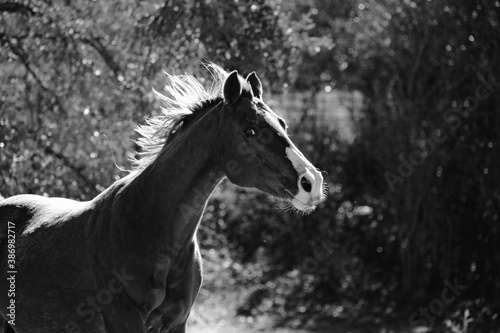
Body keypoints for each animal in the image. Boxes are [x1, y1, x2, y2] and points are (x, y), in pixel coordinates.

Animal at [0, 63, 326, 330]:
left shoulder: (177, 322)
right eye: (250, 131)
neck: (151, 232)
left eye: (282, 124)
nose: (312, 183)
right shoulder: (125, 321)